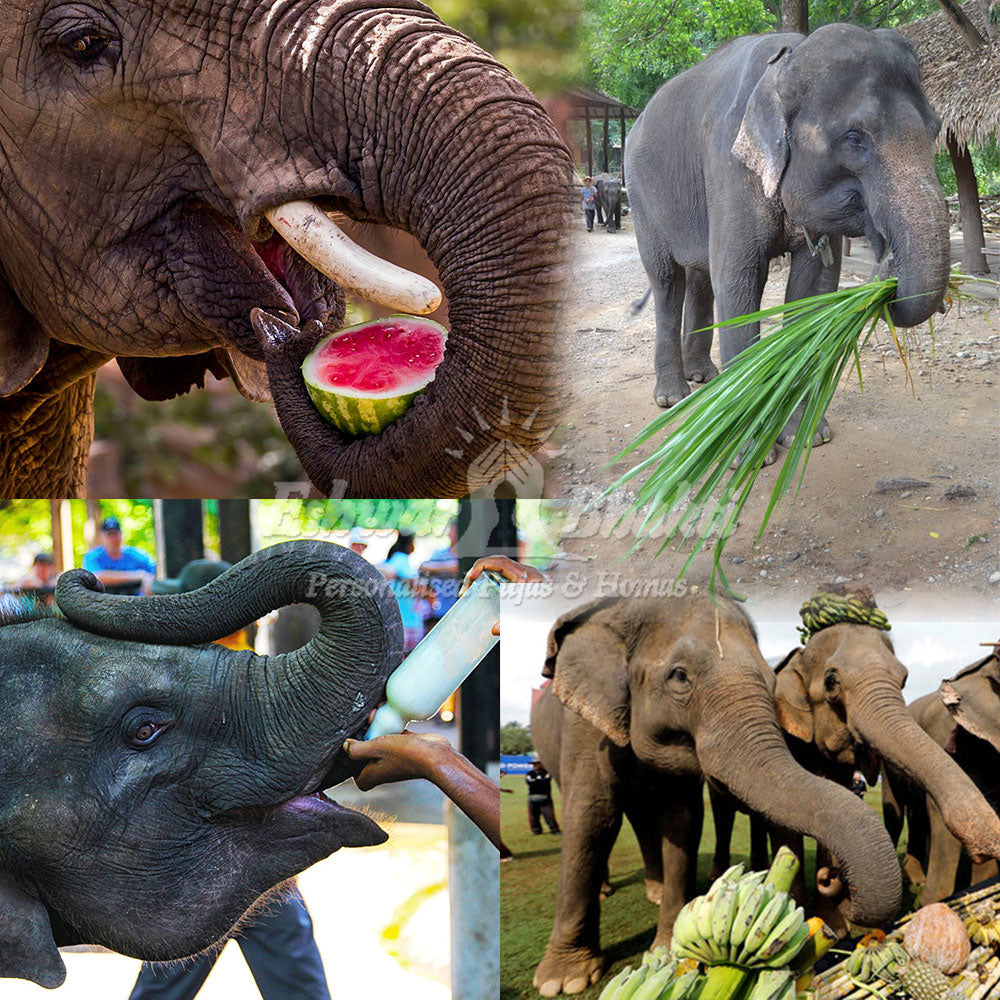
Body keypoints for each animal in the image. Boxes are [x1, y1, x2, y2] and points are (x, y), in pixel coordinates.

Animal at [532, 592, 908, 992]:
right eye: (679, 676)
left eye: (770, 684)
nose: (831, 879)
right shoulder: (584, 725)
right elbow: (593, 815)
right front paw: (563, 981)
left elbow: (682, 819)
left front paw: (670, 953)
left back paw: (662, 890)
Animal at [628, 23, 948, 448]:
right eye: (855, 139)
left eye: (936, 130)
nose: (889, 281)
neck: (787, 59)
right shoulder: (728, 168)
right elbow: (739, 281)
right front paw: (745, 450)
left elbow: (814, 287)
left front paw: (807, 435)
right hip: (640, 198)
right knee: (667, 281)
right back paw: (673, 397)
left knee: (699, 276)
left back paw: (705, 379)